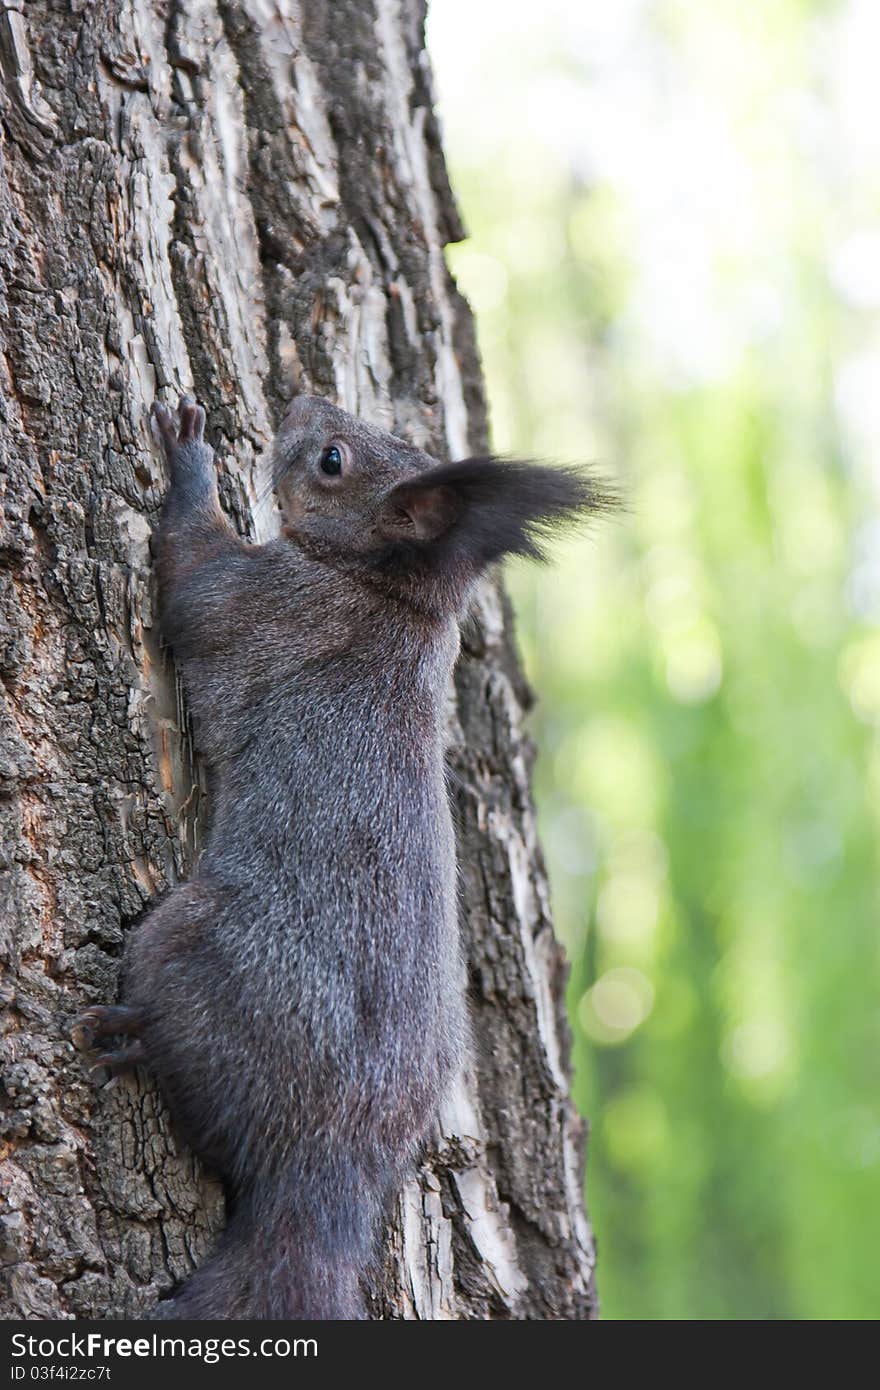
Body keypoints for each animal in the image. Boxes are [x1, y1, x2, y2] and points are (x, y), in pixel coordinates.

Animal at [71, 394, 614, 1323]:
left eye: (331, 460)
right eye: (373, 433)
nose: (299, 401)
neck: (392, 593)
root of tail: (328, 1166)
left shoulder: (266, 602)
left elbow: (194, 580)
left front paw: (190, 461)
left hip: (191, 944)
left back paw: (136, 1039)